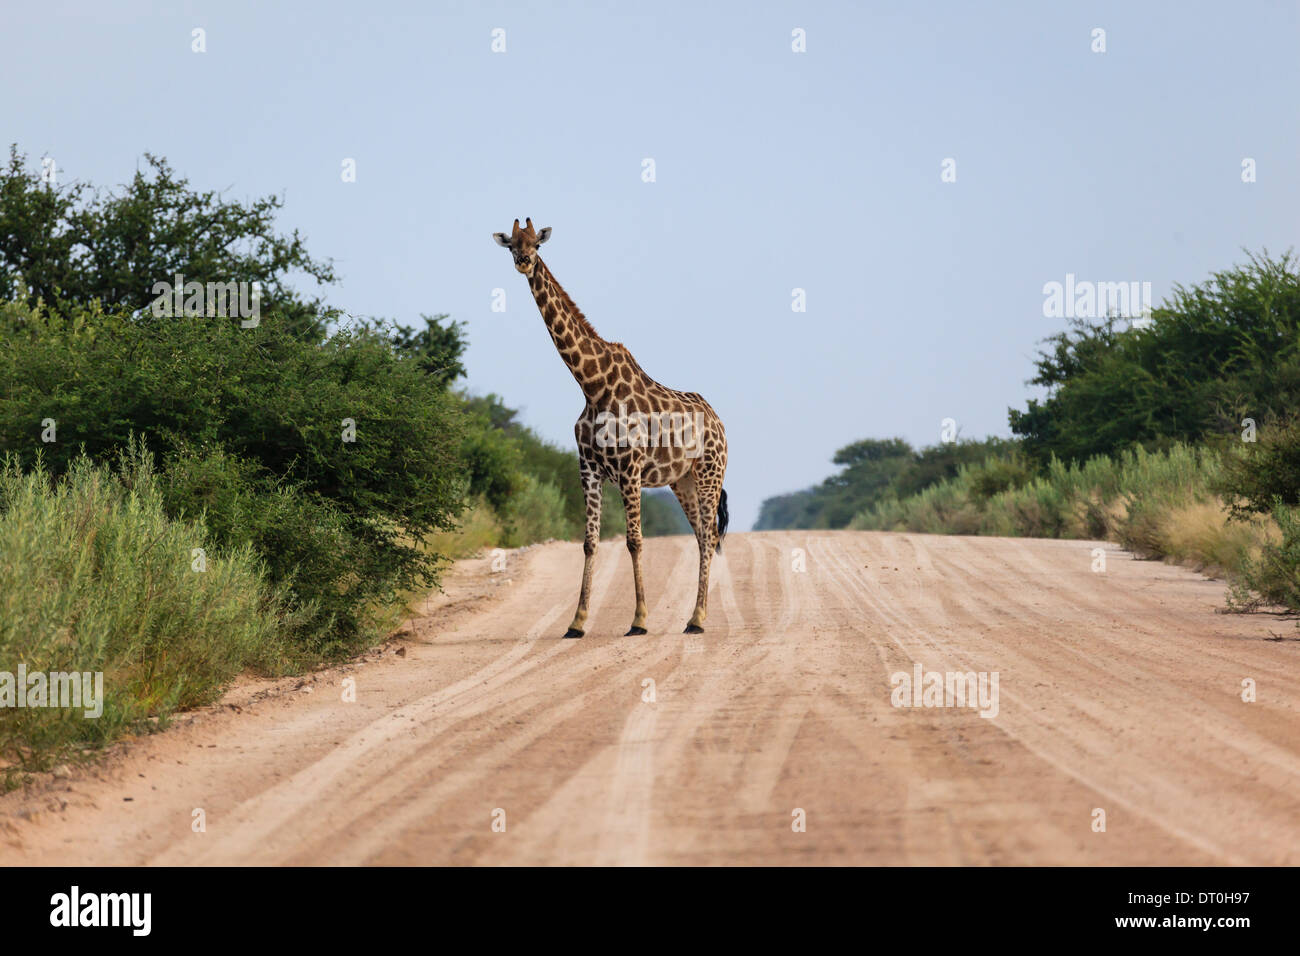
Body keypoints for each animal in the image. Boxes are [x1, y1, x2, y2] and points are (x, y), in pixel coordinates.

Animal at [491, 215, 728, 634]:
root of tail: (719, 423)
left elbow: (634, 540)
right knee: (702, 536)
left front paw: (639, 619)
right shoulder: (589, 467)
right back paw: (693, 616)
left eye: (537, 244)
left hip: (709, 474)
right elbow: (590, 541)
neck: (591, 384)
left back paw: (699, 619)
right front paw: (577, 621)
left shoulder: (630, 467)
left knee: (711, 533)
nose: (524, 262)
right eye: (512, 245)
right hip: (681, 480)